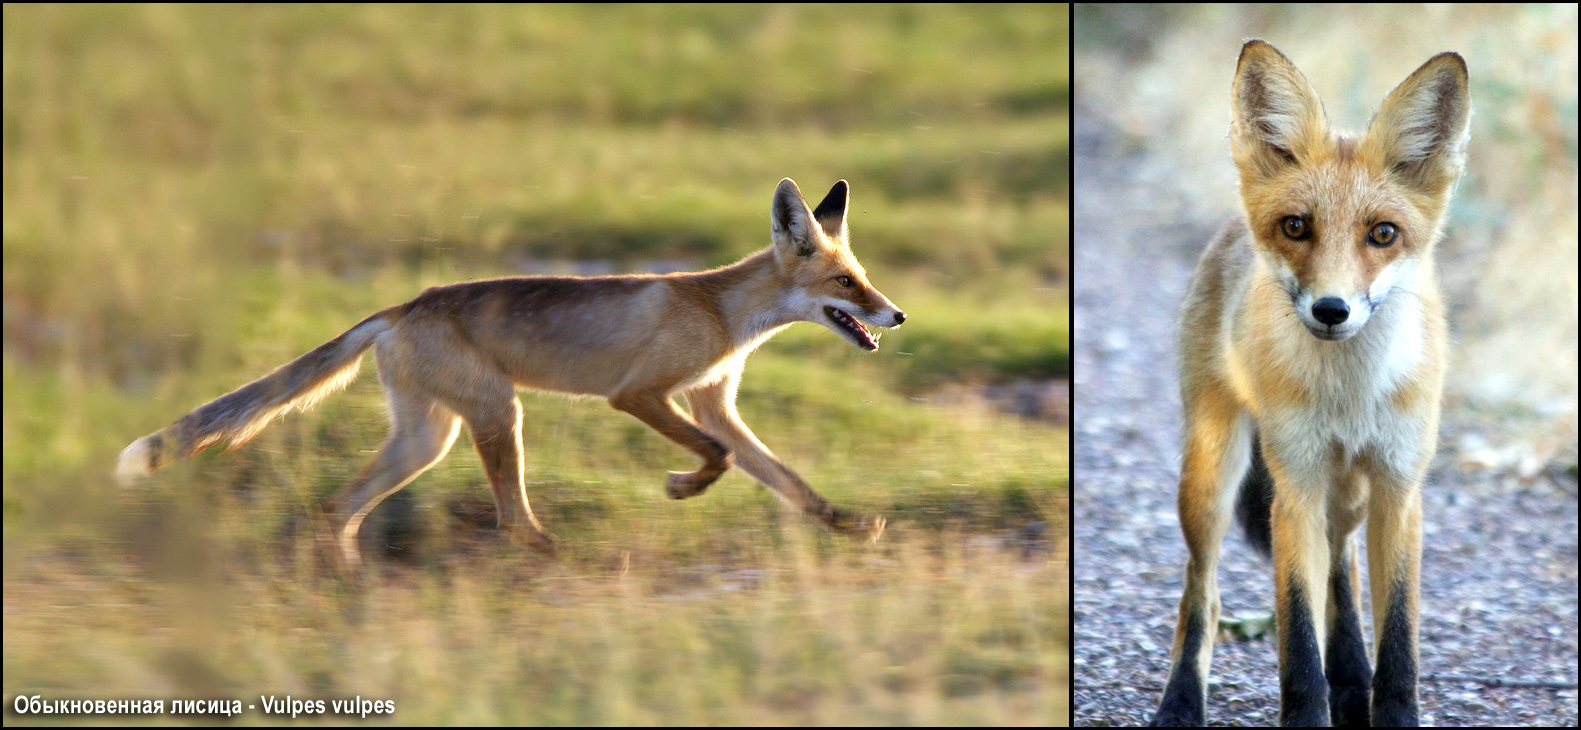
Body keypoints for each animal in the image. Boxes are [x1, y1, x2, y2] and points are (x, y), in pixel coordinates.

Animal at [118, 179, 910, 568]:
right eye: (845, 283)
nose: (896, 315)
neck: (721, 314)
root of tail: (403, 306)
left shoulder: (714, 404)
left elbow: (788, 482)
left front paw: (844, 525)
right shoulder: (638, 394)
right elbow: (714, 457)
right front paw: (682, 488)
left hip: (426, 439)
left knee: (337, 511)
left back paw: (349, 587)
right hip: (499, 416)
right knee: (510, 522)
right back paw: (583, 563)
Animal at [1150, 42, 1467, 726]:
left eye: (1383, 233)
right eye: (1297, 226)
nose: (1331, 309)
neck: (1351, 396)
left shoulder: (1401, 488)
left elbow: (1397, 641)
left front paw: (1385, 706)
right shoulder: (1293, 488)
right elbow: (1297, 639)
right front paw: (1311, 710)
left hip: (1348, 492)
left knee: (1341, 573)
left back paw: (1350, 681)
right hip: (1212, 477)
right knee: (1203, 596)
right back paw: (1181, 703)